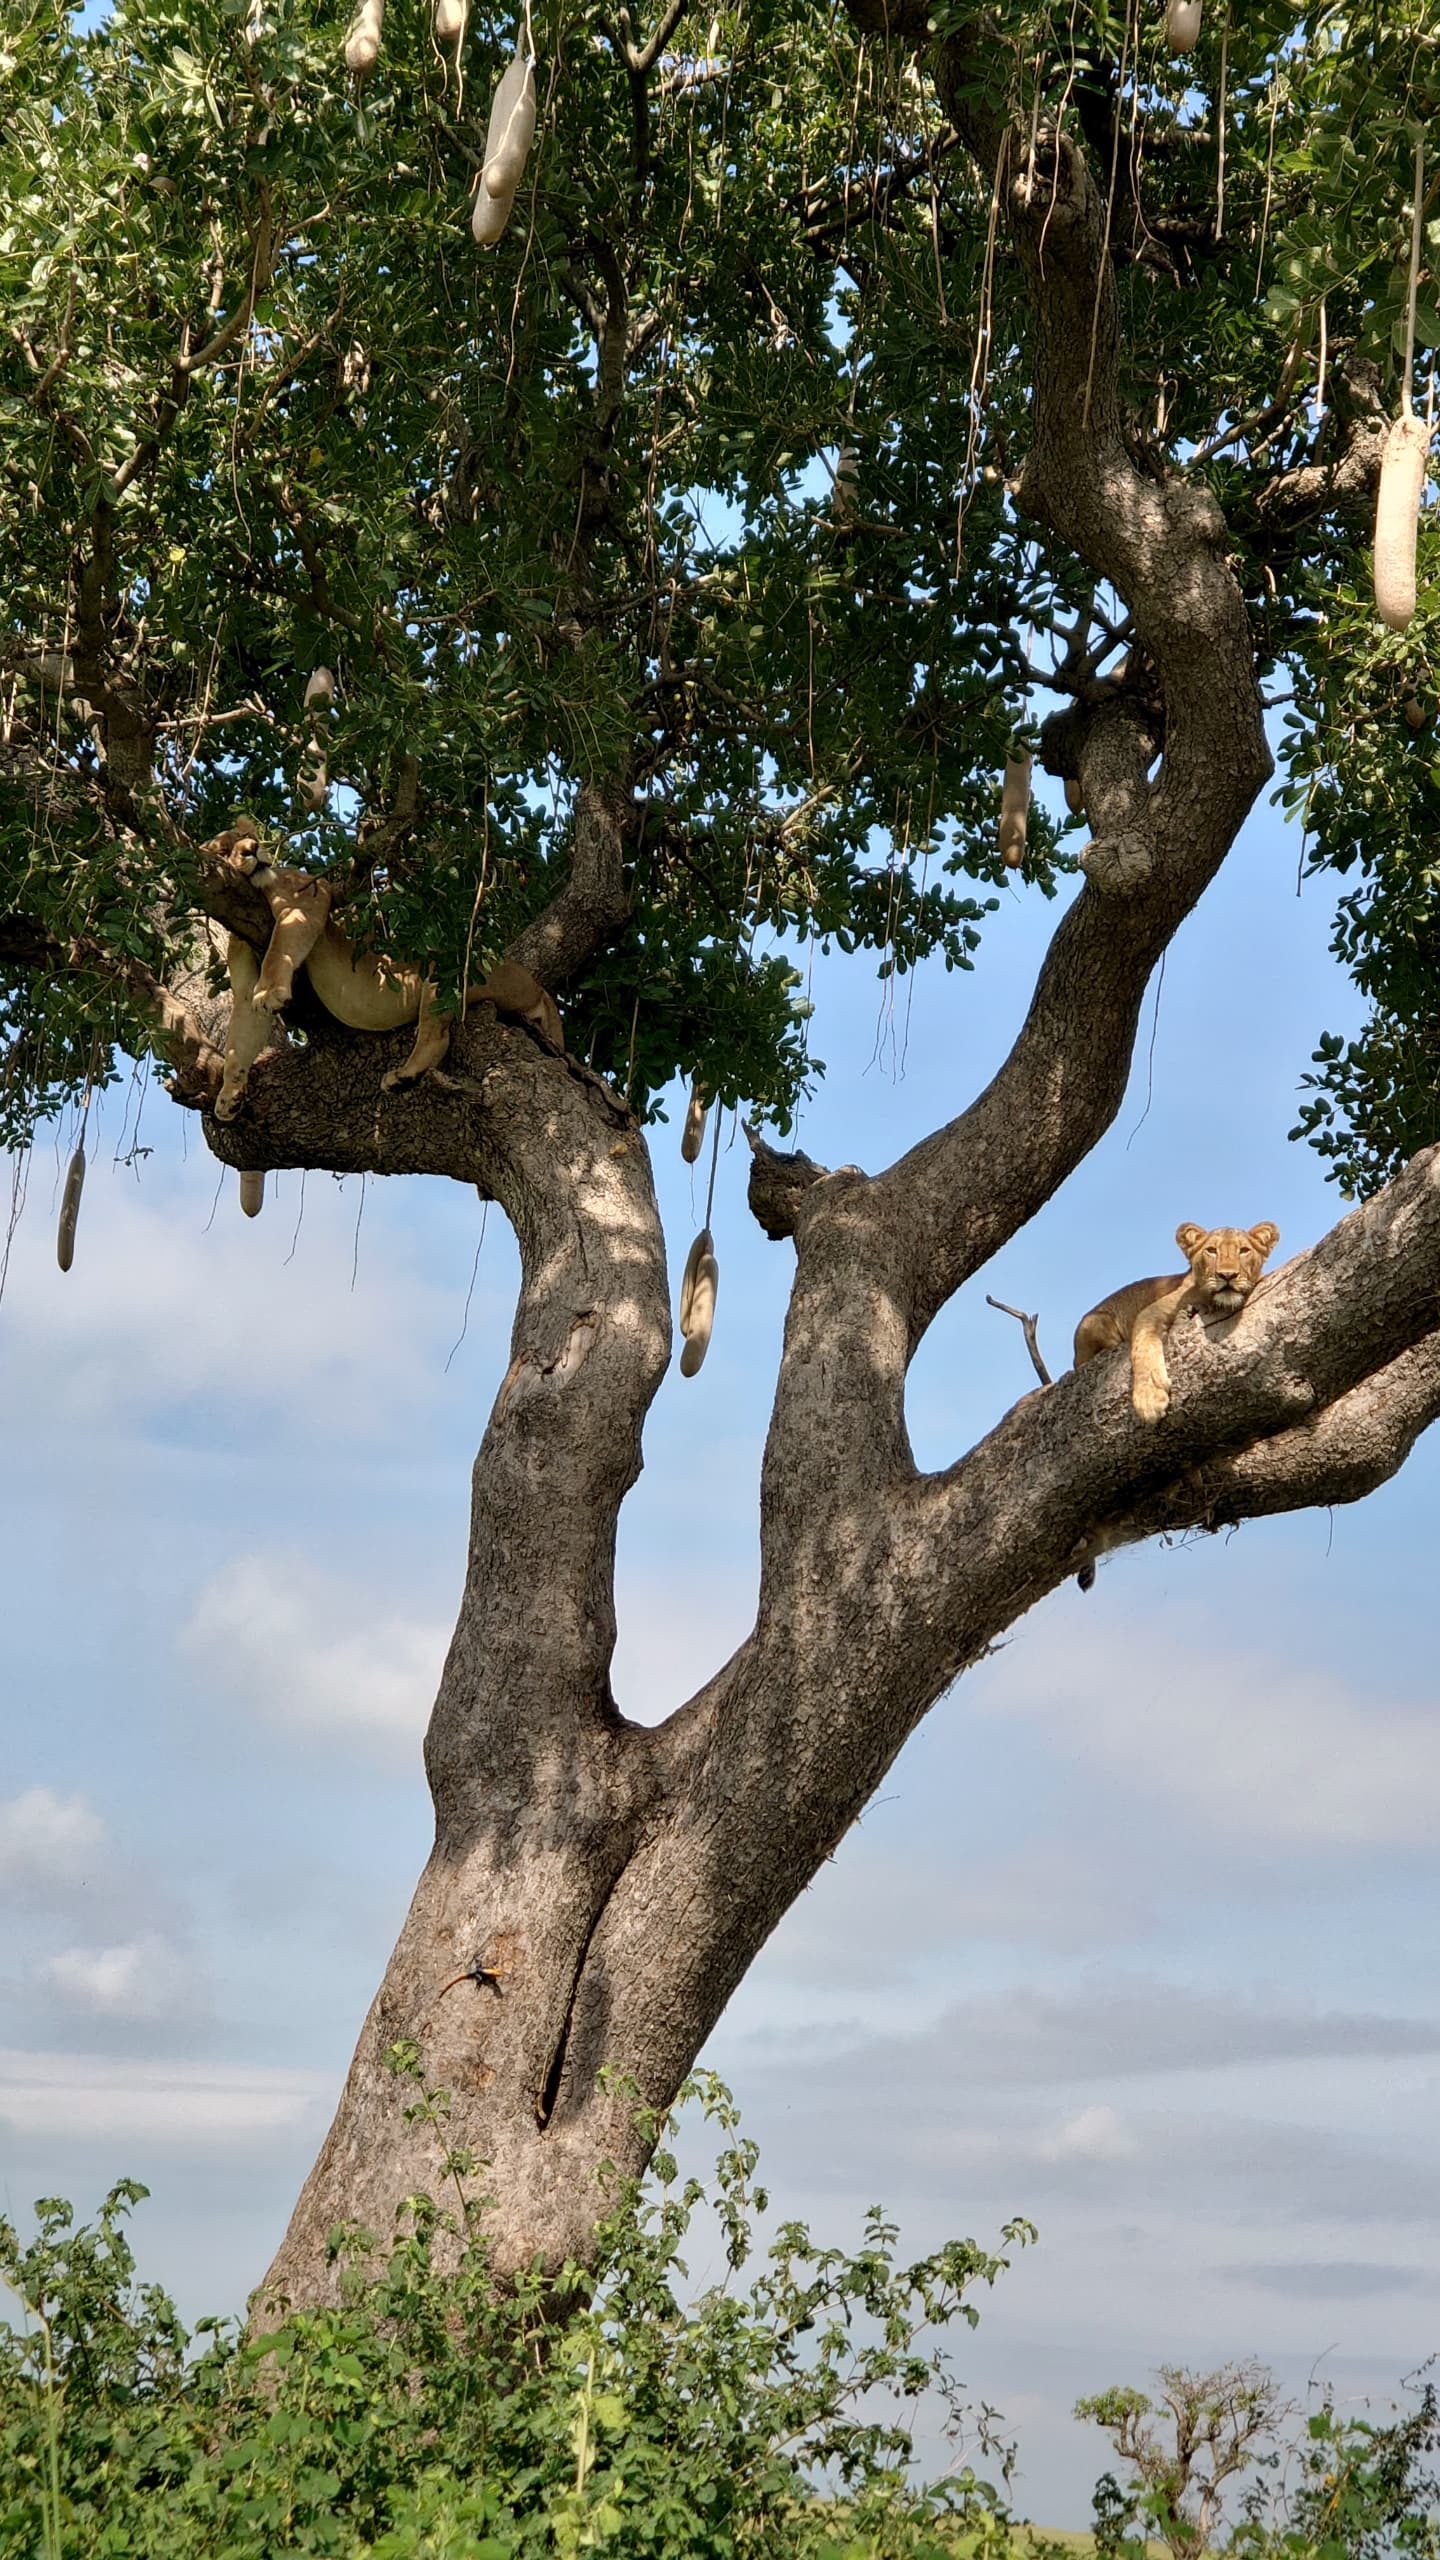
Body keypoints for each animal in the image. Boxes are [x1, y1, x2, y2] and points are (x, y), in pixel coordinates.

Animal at [205, 827, 562, 1120]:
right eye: (223, 850)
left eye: (248, 836)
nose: (252, 849)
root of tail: (536, 986)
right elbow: (241, 1036)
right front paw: (229, 1096)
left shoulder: (308, 897)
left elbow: (279, 949)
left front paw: (270, 992)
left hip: (450, 970)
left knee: (436, 1035)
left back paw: (403, 1076)